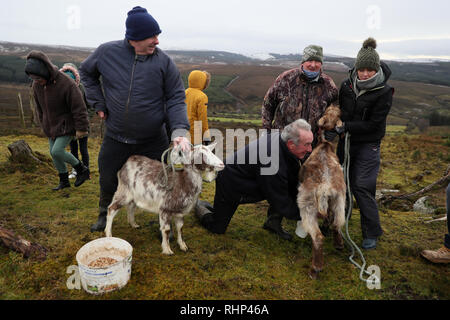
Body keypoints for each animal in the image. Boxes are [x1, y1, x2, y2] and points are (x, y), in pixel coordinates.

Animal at [298, 105, 346, 280]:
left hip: (307, 205)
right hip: (340, 200)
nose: (336, 104)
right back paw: (338, 244)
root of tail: (325, 188)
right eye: (329, 110)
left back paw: (315, 269)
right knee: (337, 223)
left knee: (318, 237)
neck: (325, 145)